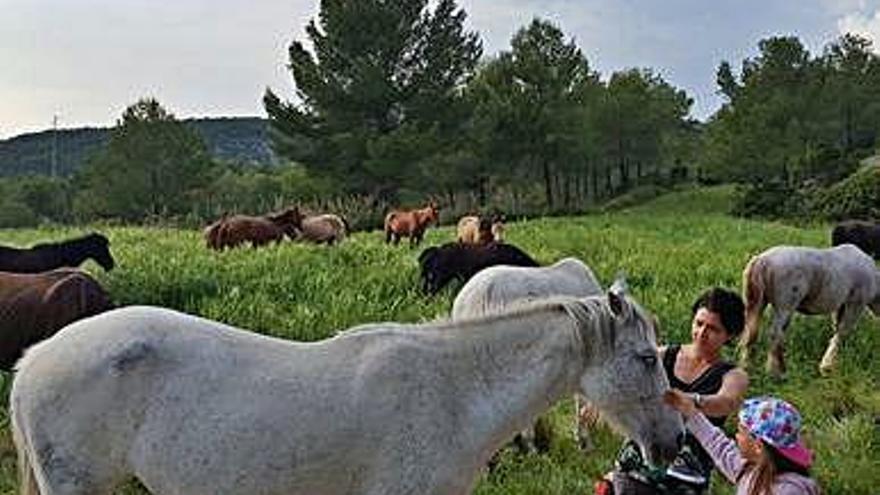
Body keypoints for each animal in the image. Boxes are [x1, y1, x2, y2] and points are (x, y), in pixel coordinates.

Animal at [736, 243, 880, 376]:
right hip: (785, 306)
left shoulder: (841, 306)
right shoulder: (855, 304)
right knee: (775, 335)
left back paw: (746, 367)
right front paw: (827, 366)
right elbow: (842, 332)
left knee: (750, 334)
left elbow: (837, 328)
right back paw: (776, 371)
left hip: (756, 304)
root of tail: (762, 260)